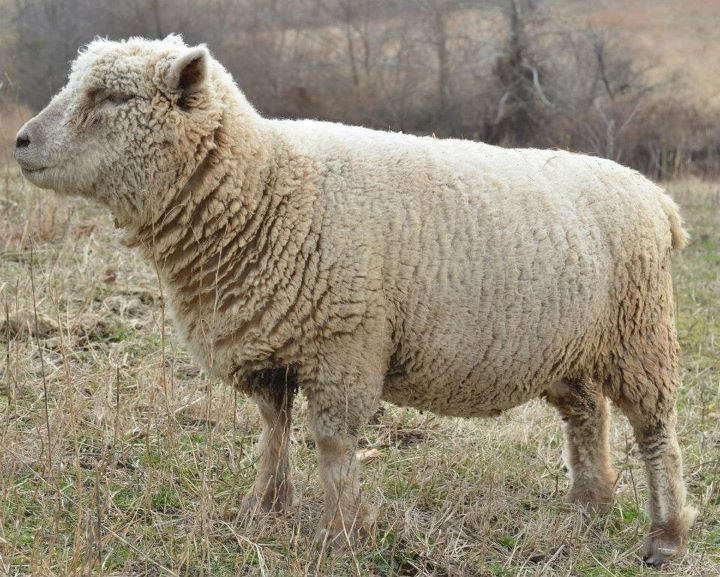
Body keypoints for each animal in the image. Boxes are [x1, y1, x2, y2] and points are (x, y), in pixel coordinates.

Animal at [14, 36, 695, 566]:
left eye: (114, 98)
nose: (20, 141)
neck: (265, 190)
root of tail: (655, 197)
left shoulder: (343, 345)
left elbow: (334, 443)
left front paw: (340, 534)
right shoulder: (270, 345)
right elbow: (273, 430)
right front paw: (264, 509)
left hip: (641, 334)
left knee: (655, 431)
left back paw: (664, 537)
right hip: (566, 346)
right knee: (586, 417)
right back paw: (588, 505)